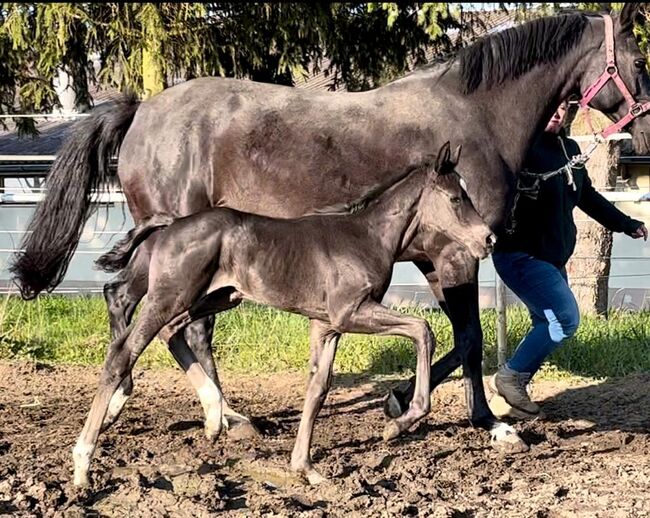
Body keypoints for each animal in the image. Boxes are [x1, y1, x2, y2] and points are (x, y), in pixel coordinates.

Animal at [73, 143, 494, 488]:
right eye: (456, 198)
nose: (488, 239)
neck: (367, 237)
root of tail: (171, 223)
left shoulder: (326, 326)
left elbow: (318, 389)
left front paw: (305, 467)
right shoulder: (350, 313)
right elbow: (423, 330)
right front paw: (400, 421)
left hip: (216, 297)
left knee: (172, 332)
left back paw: (214, 415)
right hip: (170, 295)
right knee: (124, 352)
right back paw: (83, 464)